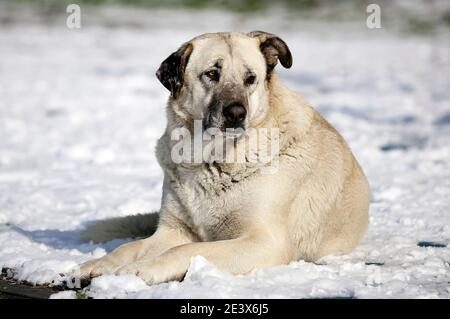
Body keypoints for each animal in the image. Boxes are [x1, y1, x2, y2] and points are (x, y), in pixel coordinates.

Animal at [77, 31, 370, 284]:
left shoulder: (264, 241)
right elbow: (130, 247)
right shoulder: (174, 230)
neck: (210, 159)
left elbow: (185, 251)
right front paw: (97, 265)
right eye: (211, 74)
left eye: (250, 78)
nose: (236, 113)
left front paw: (140, 270)